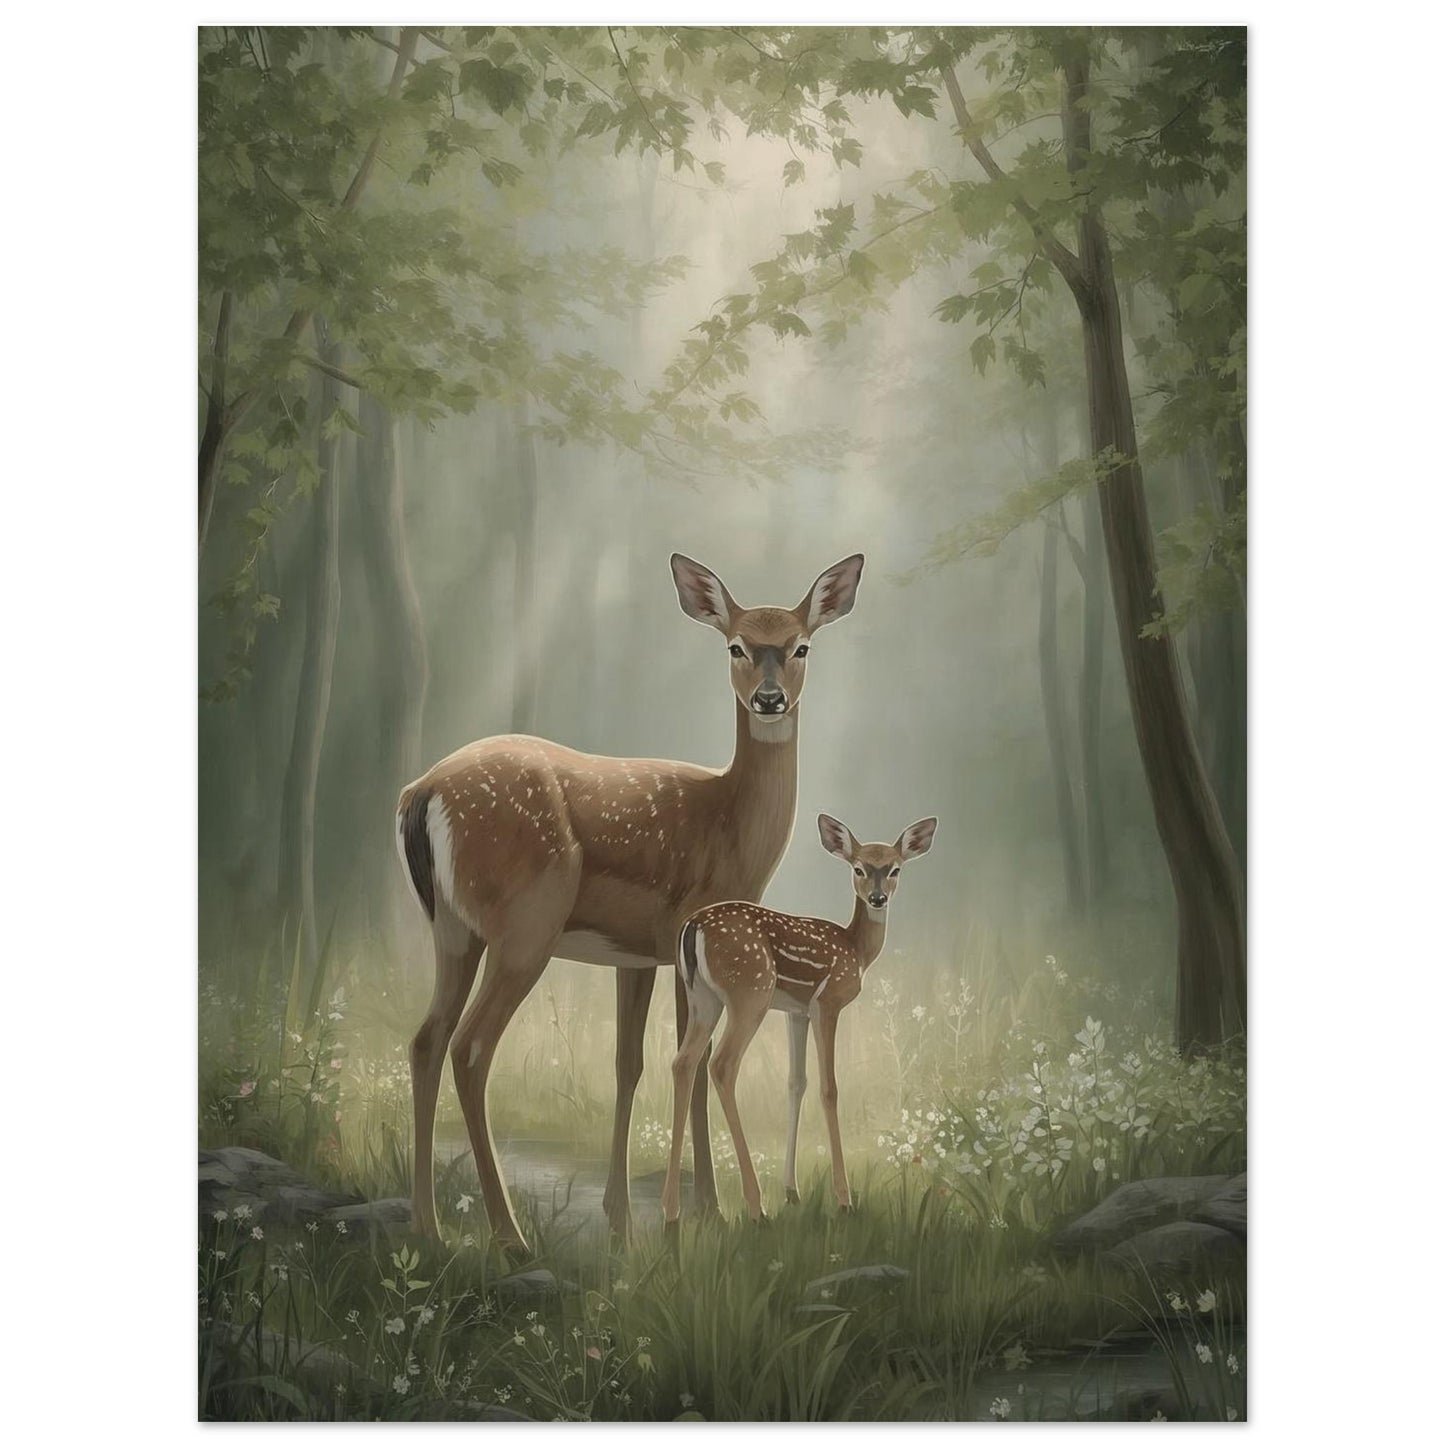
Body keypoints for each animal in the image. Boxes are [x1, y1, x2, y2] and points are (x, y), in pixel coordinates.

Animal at [395, 552, 866, 1253]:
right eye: (735, 645)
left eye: (801, 645)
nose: (769, 699)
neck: (731, 827)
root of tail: (419, 793)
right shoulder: (686, 929)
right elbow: (692, 1067)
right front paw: (708, 1211)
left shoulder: (636, 954)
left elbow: (627, 1066)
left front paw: (622, 1221)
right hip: (525, 925)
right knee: (471, 1048)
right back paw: (510, 1234)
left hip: (452, 928)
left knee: (427, 1039)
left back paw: (427, 1226)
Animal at [661, 812, 938, 1231]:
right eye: (858, 868)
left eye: (895, 869)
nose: (878, 898)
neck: (856, 950)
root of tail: (692, 927)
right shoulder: (827, 1003)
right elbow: (829, 1088)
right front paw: (844, 1200)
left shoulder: (797, 1011)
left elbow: (796, 1083)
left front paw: (792, 1191)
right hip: (749, 993)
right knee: (722, 1064)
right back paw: (756, 1208)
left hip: (701, 998)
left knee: (683, 1062)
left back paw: (672, 1213)